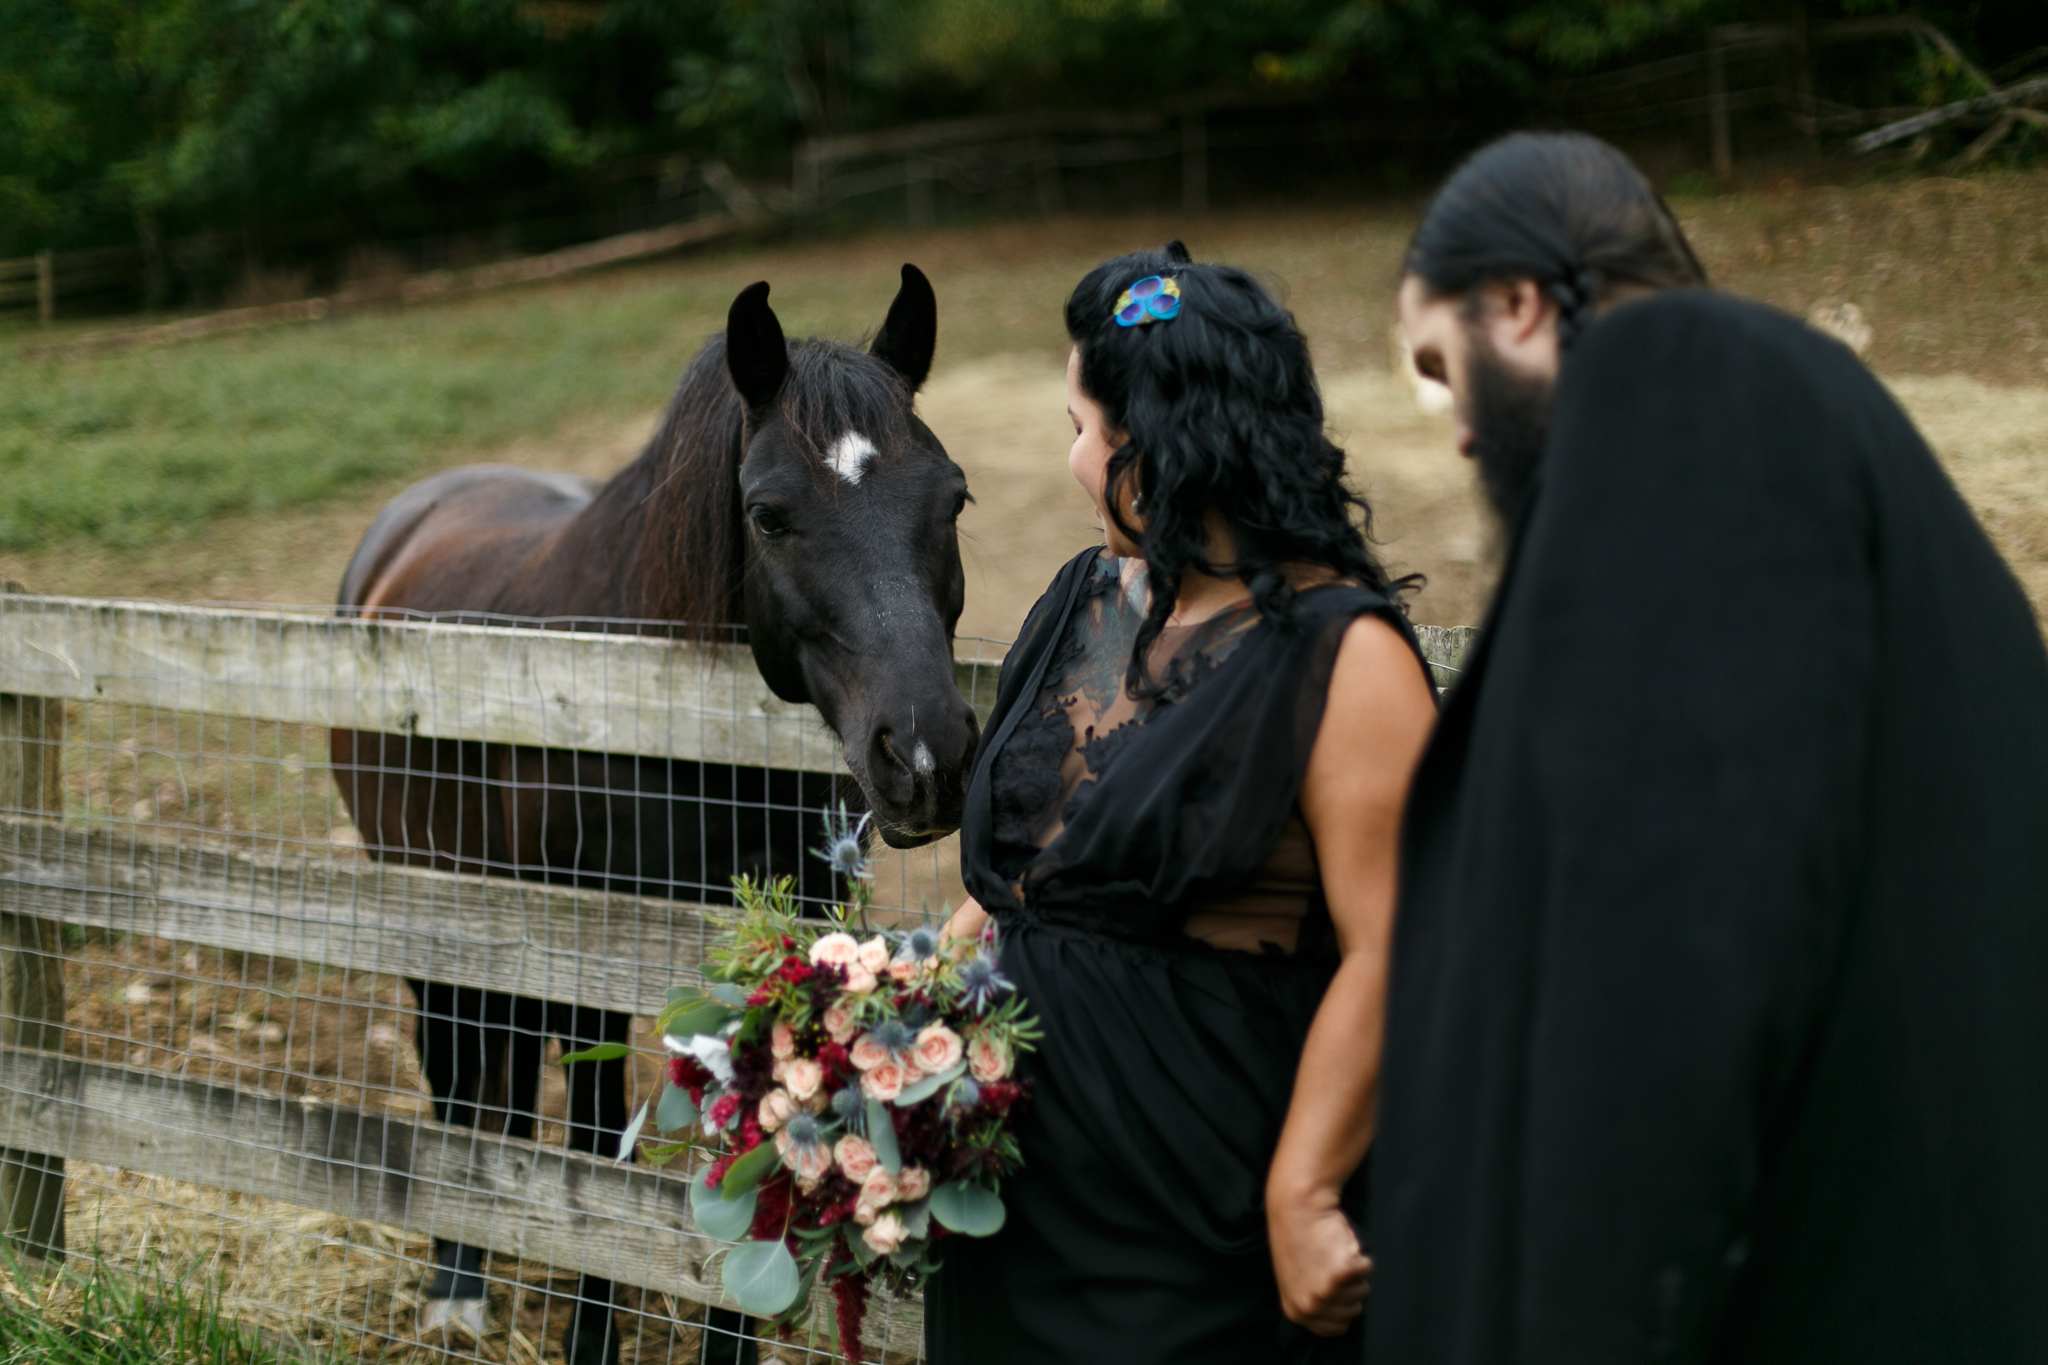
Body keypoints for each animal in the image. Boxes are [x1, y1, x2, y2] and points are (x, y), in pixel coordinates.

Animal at [331, 270, 978, 1365]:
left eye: (954, 497)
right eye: (767, 514)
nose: (926, 759)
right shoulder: (593, 960)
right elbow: (596, 1149)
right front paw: (588, 1336)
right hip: (431, 909)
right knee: (458, 1081)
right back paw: (459, 1285)